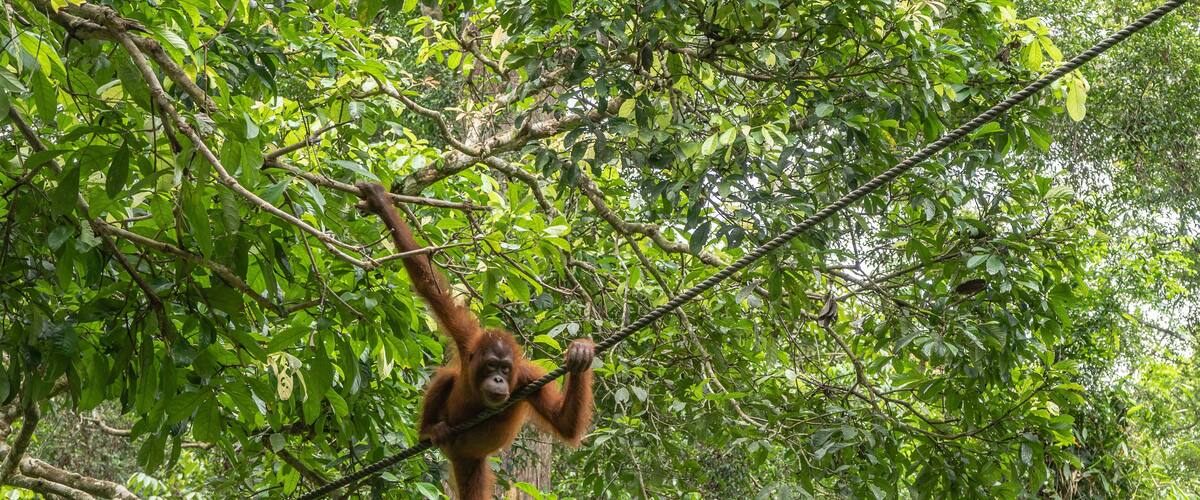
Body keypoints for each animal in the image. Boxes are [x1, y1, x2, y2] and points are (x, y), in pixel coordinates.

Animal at [356, 183, 595, 500]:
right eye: (491, 365)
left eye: (505, 369)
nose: (498, 380)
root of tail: (459, 454)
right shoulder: (467, 339)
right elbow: (429, 286)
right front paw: (382, 203)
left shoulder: (527, 379)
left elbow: (564, 423)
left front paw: (581, 354)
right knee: (446, 378)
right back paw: (430, 430)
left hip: (473, 462)